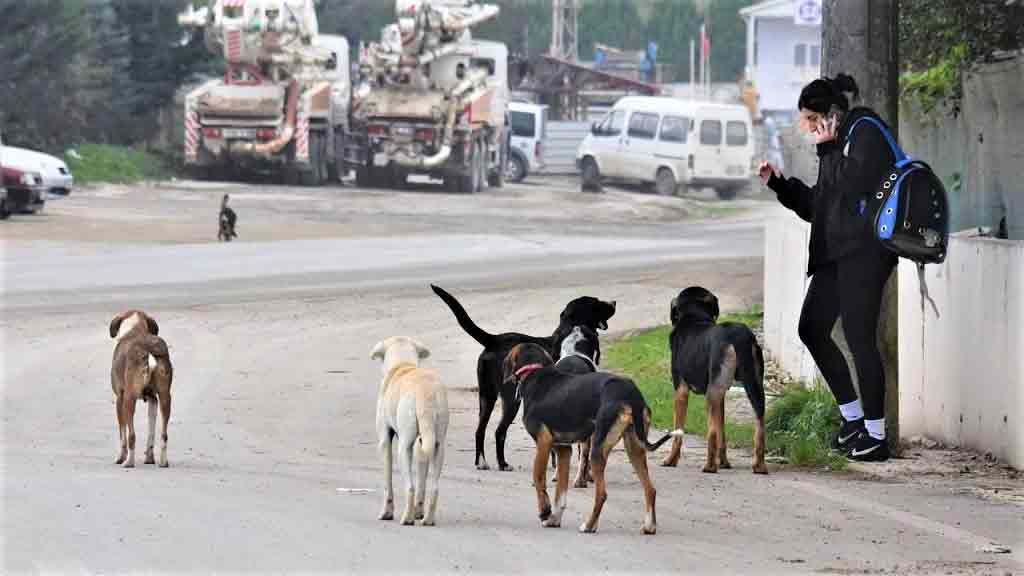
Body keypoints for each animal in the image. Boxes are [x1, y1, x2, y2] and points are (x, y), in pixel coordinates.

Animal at [109, 309, 173, 467]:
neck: (135, 329)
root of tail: (148, 350)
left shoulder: (120, 399)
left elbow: (122, 434)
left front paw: (120, 457)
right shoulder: (153, 399)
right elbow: (151, 431)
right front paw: (149, 458)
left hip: (129, 399)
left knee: (131, 435)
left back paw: (128, 462)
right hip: (165, 397)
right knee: (164, 435)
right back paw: (163, 461)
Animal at [368, 336, 448, 524]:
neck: (403, 364)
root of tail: (425, 393)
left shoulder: (384, 442)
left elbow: (387, 482)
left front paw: (386, 513)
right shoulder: (422, 445)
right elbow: (422, 482)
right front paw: (419, 511)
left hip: (403, 448)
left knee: (410, 486)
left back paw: (407, 518)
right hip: (437, 445)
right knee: (434, 487)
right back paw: (427, 519)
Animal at [432, 282, 614, 471]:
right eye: (596, 303)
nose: (614, 302)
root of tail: (493, 339)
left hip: (486, 396)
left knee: (480, 430)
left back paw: (481, 462)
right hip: (511, 400)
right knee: (500, 431)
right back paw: (503, 463)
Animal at [501, 340, 679, 532]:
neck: (534, 373)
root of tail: (630, 392)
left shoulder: (543, 442)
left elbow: (538, 477)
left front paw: (545, 511)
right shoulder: (563, 450)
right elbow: (560, 491)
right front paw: (554, 519)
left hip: (597, 448)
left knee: (602, 494)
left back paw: (589, 525)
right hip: (634, 448)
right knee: (650, 490)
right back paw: (649, 526)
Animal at [663, 284, 770, 473]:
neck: (694, 316)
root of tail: (738, 336)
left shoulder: (681, 391)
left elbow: (678, 433)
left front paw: (671, 460)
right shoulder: (721, 396)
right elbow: (722, 432)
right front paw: (725, 462)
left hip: (711, 394)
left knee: (711, 433)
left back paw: (710, 466)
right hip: (754, 386)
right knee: (759, 426)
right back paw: (759, 465)